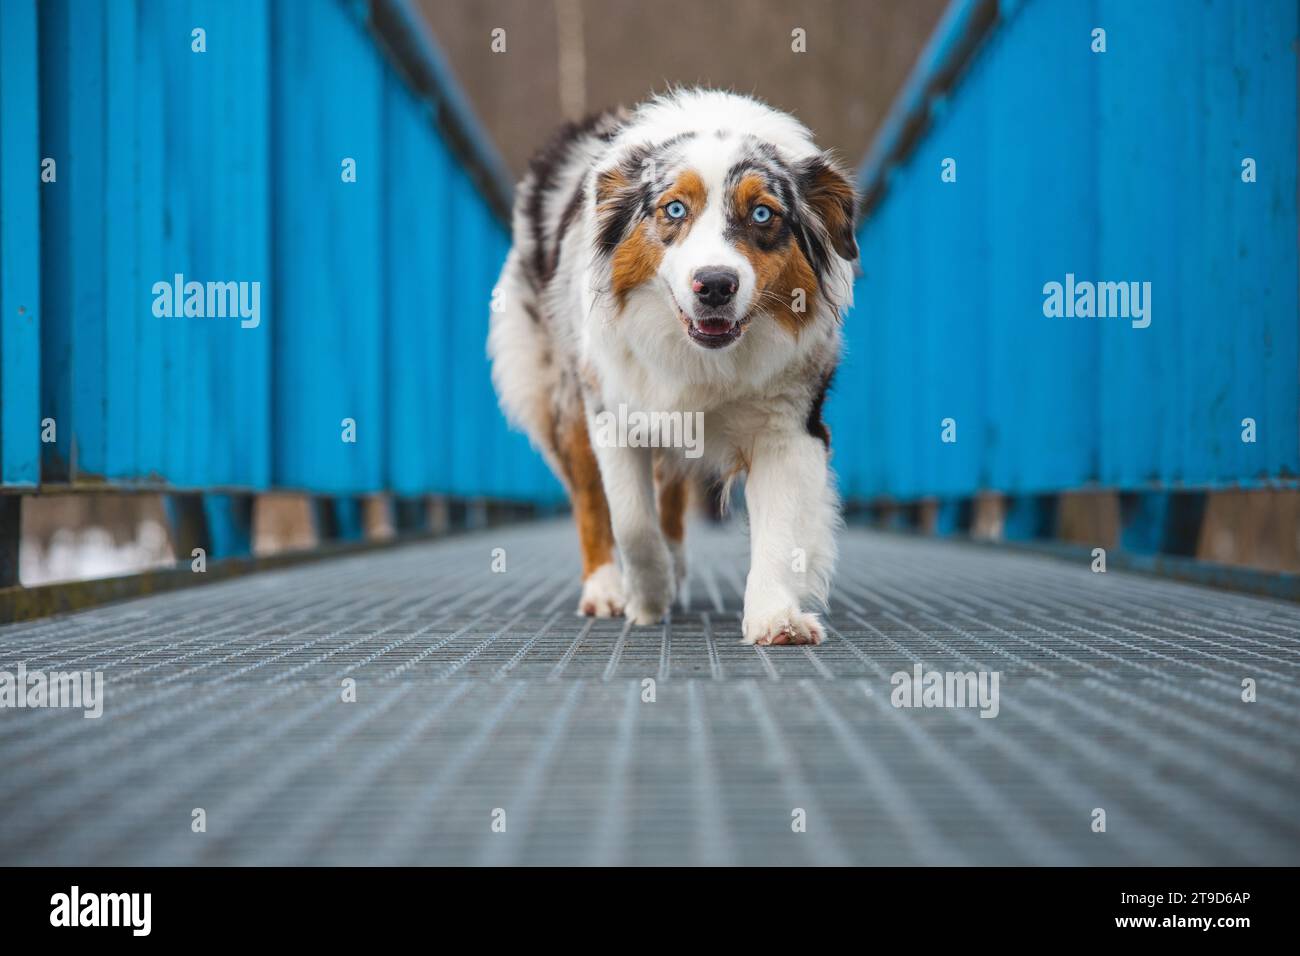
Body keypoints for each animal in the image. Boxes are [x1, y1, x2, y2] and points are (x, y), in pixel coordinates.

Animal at [486, 89, 852, 647]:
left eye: (762, 214)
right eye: (674, 209)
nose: (715, 284)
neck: (702, 357)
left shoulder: (787, 425)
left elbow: (780, 528)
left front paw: (775, 617)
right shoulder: (611, 411)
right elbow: (632, 522)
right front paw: (647, 596)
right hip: (561, 391)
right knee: (592, 501)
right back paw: (605, 589)